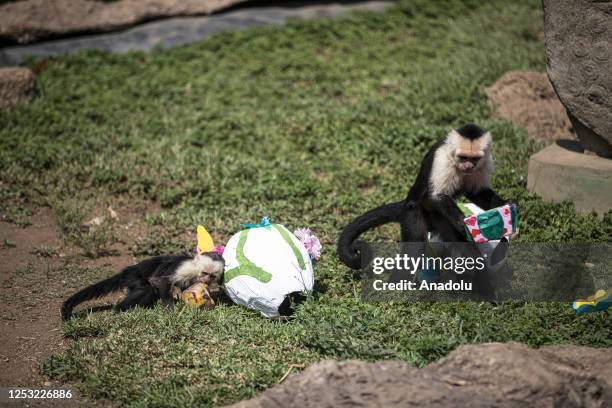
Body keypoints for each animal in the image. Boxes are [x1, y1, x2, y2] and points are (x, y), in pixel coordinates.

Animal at [61, 252, 225, 322]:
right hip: (133, 277)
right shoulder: (186, 269)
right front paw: (170, 310)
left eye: (212, 276)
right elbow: (162, 282)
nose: (207, 279)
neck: (195, 271)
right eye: (205, 272)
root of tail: (129, 270)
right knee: (148, 289)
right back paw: (120, 309)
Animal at [340, 124, 512, 300]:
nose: (468, 166)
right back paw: (394, 287)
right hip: (414, 212)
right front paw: (461, 222)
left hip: (439, 219)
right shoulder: (442, 159)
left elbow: (476, 192)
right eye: (463, 157)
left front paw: (506, 206)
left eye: (474, 159)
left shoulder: (485, 162)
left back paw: (487, 293)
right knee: (414, 247)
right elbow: (436, 196)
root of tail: (407, 201)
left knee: (466, 249)